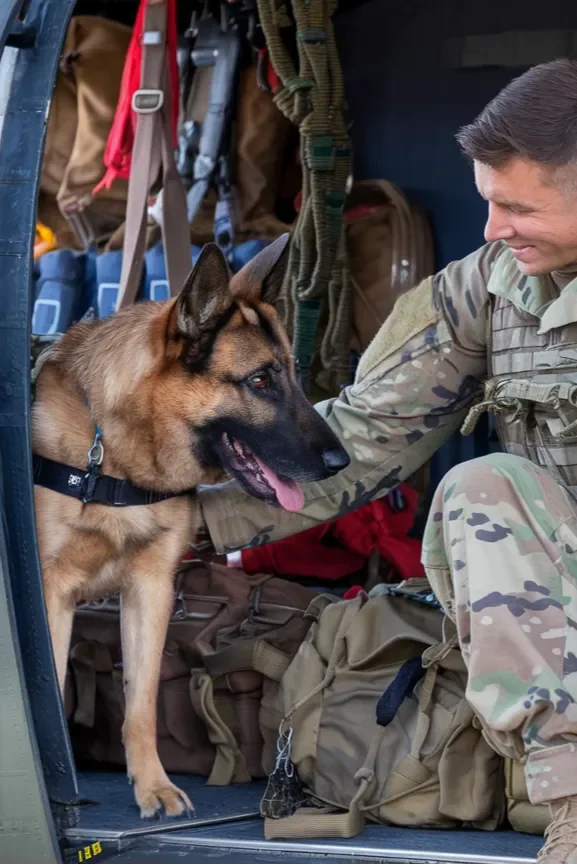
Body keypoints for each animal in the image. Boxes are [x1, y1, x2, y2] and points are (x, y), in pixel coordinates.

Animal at [31, 235, 348, 816]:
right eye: (260, 380)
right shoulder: (51, 596)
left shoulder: (150, 592)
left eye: (293, 374)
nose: (341, 462)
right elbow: (54, 688)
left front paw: (153, 786)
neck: (113, 454)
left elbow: (141, 704)